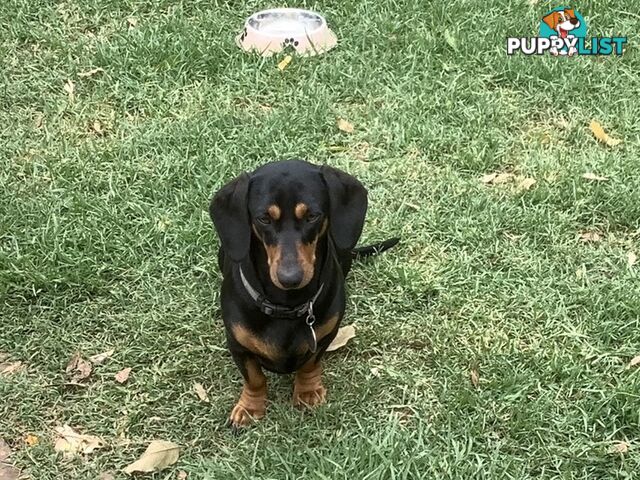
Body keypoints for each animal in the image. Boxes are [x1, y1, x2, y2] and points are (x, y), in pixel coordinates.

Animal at [210, 160, 398, 428]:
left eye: (312, 216)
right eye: (264, 218)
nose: (290, 278)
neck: (287, 305)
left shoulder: (325, 335)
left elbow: (310, 364)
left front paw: (308, 391)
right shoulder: (238, 345)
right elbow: (254, 378)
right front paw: (250, 407)